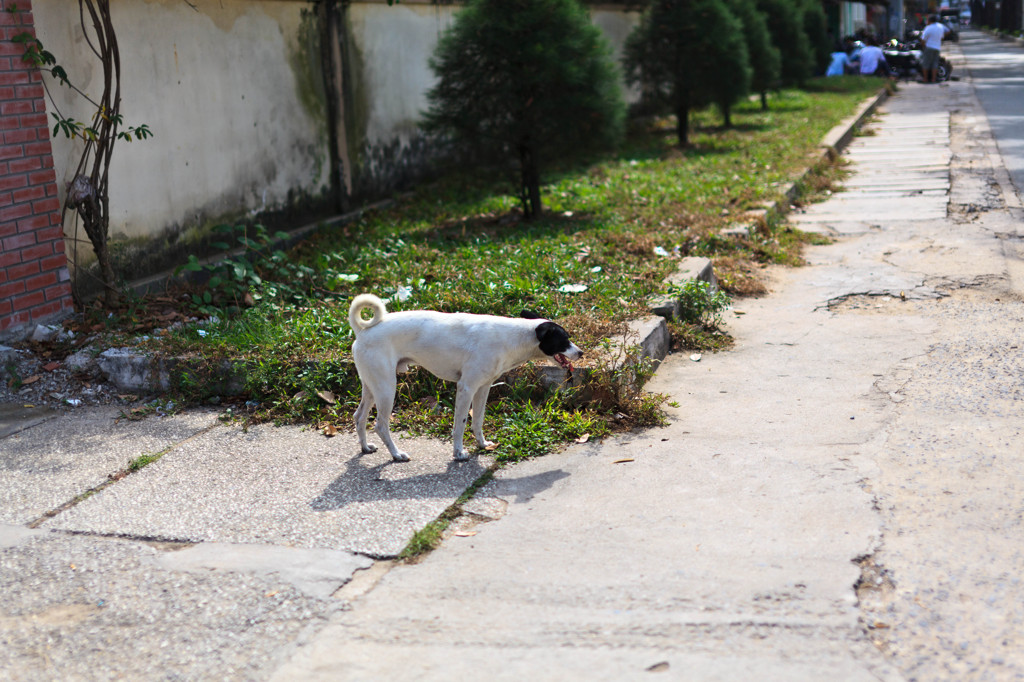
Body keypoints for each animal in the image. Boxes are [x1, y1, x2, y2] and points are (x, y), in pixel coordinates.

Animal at [346, 292, 581, 462]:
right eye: (564, 340)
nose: (581, 353)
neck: (512, 337)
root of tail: (362, 331)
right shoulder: (466, 387)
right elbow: (460, 425)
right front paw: (458, 453)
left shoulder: (483, 388)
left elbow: (477, 420)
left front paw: (482, 444)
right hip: (387, 389)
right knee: (380, 425)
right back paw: (396, 454)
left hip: (372, 387)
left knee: (359, 417)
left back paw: (365, 447)